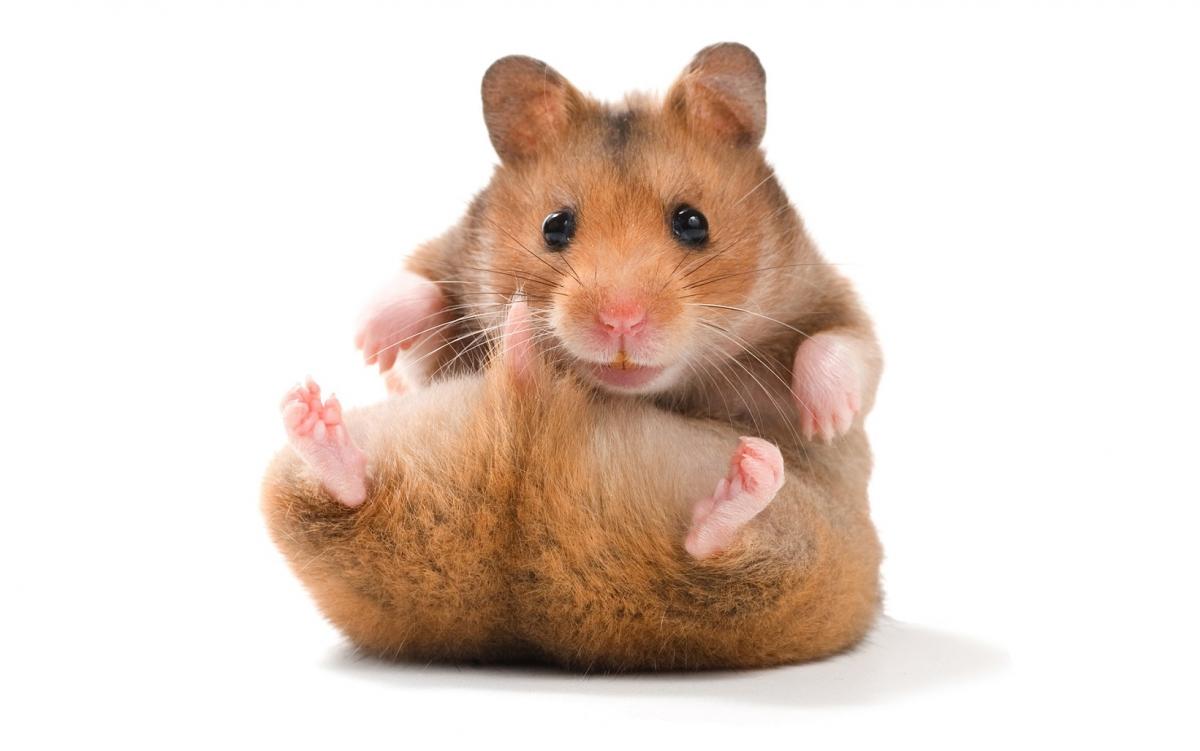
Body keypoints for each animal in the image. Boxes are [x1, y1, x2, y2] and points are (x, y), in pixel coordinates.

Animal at [355, 43, 882, 453]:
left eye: (693, 223)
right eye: (554, 227)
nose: (621, 321)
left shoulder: (822, 293)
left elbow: (843, 346)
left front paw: (826, 424)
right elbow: (416, 304)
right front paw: (370, 348)